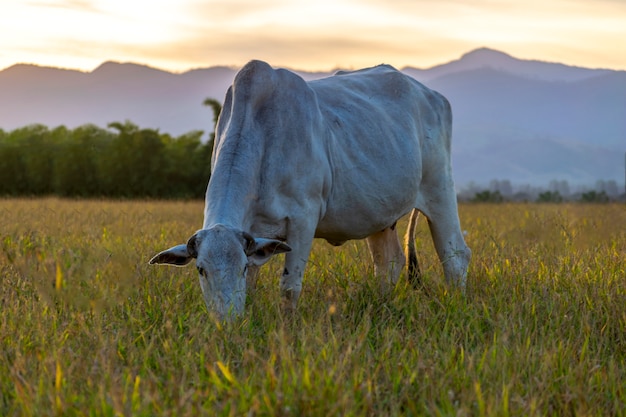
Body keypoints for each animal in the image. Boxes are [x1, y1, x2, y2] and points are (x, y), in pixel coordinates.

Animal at [150, 59, 468, 318]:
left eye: (240, 266)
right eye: (201, 269)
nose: (225, 321)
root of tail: (431, 95)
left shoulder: (303, 220)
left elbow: (289, 287)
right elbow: (251, 290)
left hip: (439, 189)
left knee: (455, 256)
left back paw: (456, 306)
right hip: (381, 216)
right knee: (388, 263)